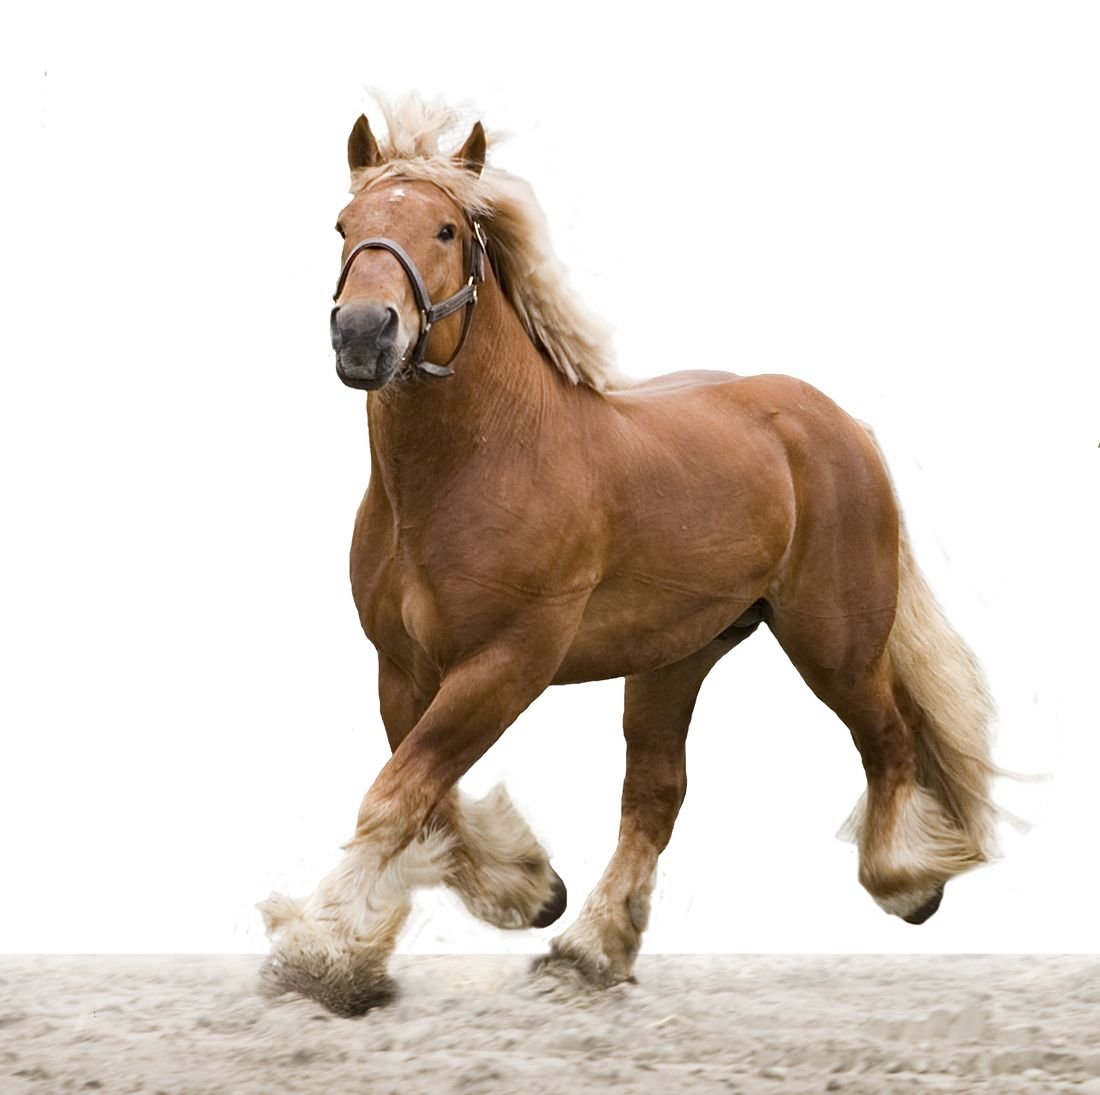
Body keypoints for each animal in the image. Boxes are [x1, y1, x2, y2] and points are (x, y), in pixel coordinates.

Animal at [255, 96, 998, 1016]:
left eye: (446, 228)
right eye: (343, 225)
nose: (363, 335)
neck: (473, 467)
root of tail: (839, 423)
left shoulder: (508, 661)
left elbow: (396, 797)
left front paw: (319, 953)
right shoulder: (402, 667)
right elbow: (425, 799)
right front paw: (527, 888)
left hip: (834, 641)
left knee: (888, 737)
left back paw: (906, 878)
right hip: (676, 657)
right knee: (655, 794)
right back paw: (588, 947)